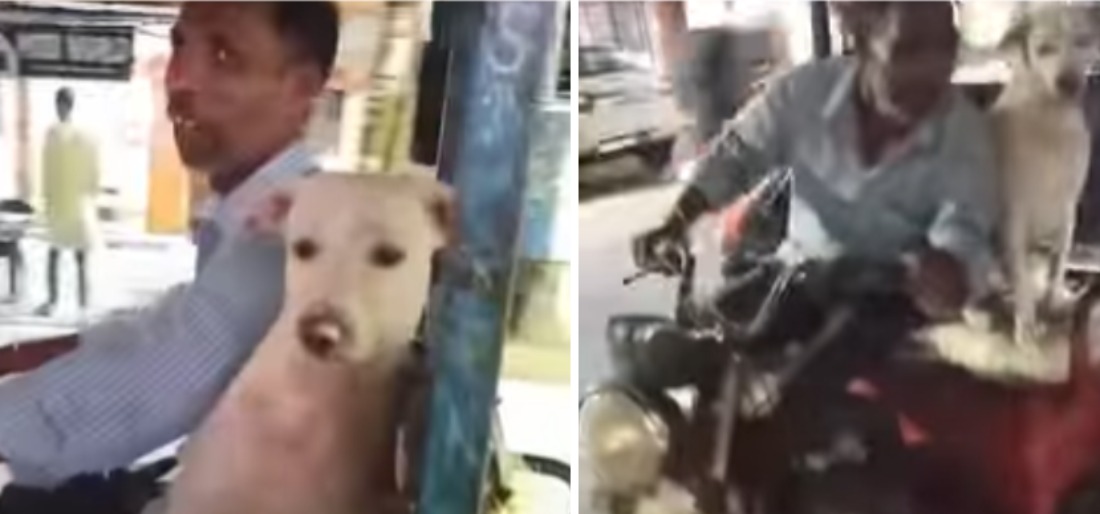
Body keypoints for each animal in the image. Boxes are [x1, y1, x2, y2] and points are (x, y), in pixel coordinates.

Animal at [994, 3, 1095, 345]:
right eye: (1043, 49)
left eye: (1084, 41)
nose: (1069, 82)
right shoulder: (1014, 215)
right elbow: (1022, 280)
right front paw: (1026, 322)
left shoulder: (1068, 211)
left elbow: (1058, 263)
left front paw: (1055, 299)